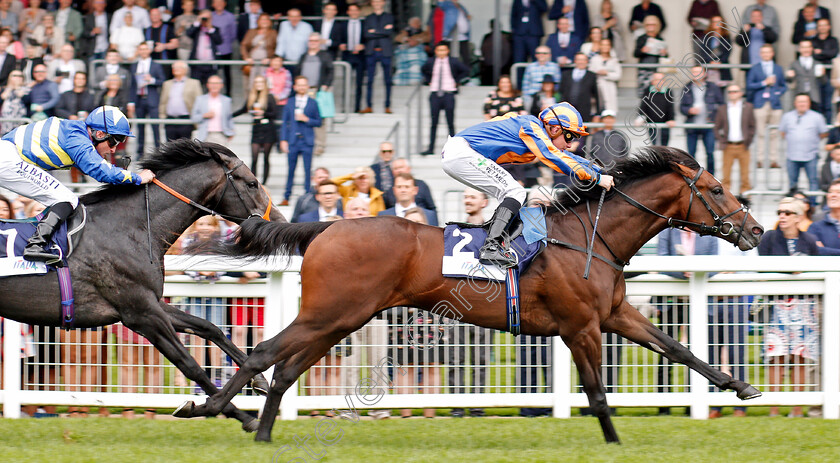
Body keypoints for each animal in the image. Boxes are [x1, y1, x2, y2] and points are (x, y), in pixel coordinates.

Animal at [0, 139, 282, 432]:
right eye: (252, 183)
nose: (280, 222)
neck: (130, 228)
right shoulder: (141, 315)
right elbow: (190, 364)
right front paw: (237, 414)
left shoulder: (151, 303)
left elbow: (210, 328)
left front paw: (259, 380)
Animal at [174, 147, 764, 444]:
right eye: (716, 190)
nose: (755, 230)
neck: (590, 237)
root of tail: (328, 226)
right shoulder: (580, 326)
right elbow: (597, 393)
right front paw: (614, 443)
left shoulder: (614, 314)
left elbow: (679, 349)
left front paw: (739, 385)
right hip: (330, 313)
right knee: (263, 353)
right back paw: (213, 407)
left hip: (340, 319)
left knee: (287, 369)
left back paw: (263, 433)